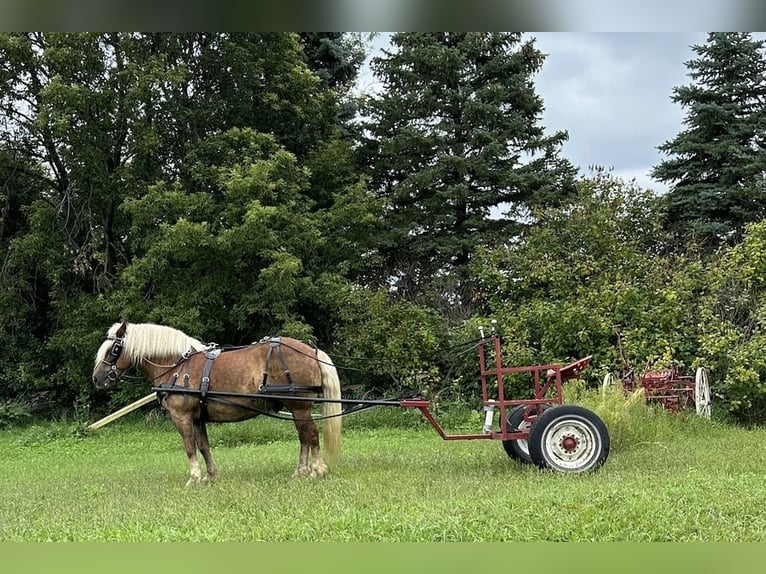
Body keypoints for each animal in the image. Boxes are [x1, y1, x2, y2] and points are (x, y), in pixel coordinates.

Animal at [91, 322, 344, 488]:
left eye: (114, 349)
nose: (97, 378)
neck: (176, 366)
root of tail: (310, 350)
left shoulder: (181, 416)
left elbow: (189, 447)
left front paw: (193, 478)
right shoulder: (197, 417)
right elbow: (203, 446)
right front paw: (210, 476)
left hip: (299, 405)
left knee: (310, 434)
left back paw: (317, 470)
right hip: (295, 407)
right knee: (304, 437)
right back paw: (300, 471)